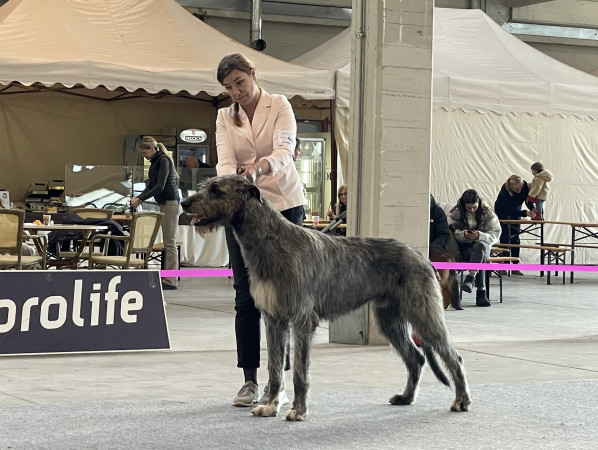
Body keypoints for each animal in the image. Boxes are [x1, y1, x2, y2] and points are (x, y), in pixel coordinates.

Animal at [180, 176, 472, 422]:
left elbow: (299, 372)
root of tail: (421, 256)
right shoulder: (273, 319)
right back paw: (406, 397)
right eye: (206, 185)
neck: (271, 241)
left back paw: (461, 400)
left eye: (216, 190)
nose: (184, 203)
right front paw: (271, 405)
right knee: (416, 358)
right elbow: (275, 368)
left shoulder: (302, 320)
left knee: (453, 356)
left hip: (423, 311)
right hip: (389, 318)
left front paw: (298, 411)